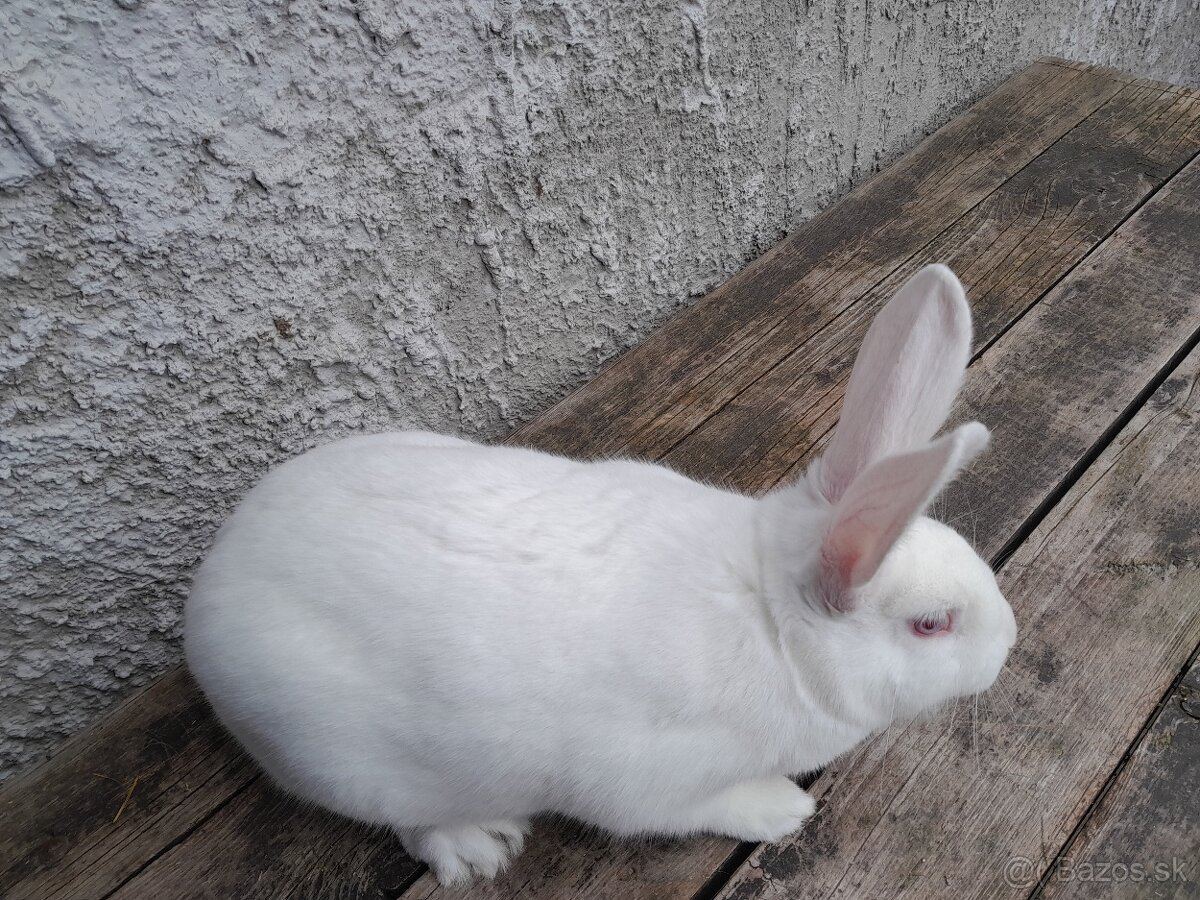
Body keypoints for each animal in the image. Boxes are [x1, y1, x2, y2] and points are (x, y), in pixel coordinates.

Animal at [185, 263, 1017, 885]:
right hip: (357, 764)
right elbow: (692, 808)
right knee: (408, 820)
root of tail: (208, 589)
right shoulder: (652, 783)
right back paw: (477, 846)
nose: (1008, 643)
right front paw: (781, 809)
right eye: (931, 624)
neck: (774, 622)